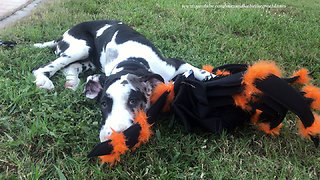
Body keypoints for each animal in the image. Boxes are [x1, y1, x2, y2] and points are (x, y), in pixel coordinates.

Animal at [32, 19, 215, 143]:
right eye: (103, 104)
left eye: (133, 100)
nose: (113, 138)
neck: (131, 62)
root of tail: (62, 36)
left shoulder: (175, 65)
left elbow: (200, 71)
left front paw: (215, 77)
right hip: (79, 48)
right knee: (45, 67)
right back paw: (44, 81)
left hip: (88, 57)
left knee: (69, 67)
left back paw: (70, 82)